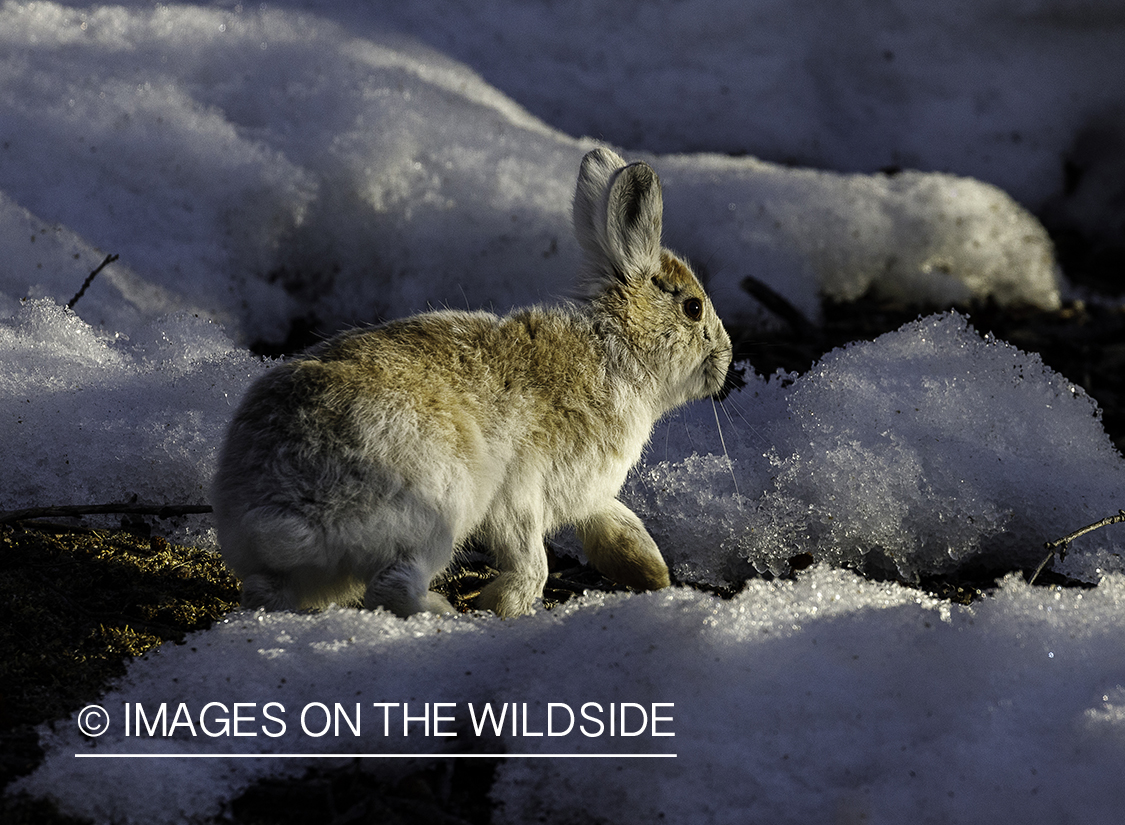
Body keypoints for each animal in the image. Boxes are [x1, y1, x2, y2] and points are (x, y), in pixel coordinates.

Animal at [210, 147, 741, 618]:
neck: (615, 350)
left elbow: (618, 524)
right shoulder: (519, 491)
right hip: (437, 509)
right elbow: (533, 559)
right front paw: (504, 606)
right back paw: (446, 613)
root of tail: (281, 519)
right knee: (392, 585)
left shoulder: (587, 495)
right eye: (694, 308)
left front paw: (654, 574)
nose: (727, 360)